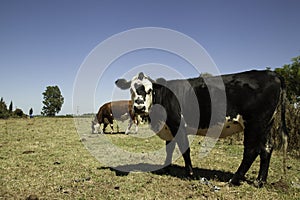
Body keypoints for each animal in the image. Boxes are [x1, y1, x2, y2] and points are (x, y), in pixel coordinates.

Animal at [115, 69, 288, 187]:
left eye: (149, 90)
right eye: (131, 90)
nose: (139, 107)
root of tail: (271, 73)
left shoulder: (177, 124)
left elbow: (184, 149)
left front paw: (190, 173)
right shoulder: (169, 128)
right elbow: (169, 148)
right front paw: (165, 168)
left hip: (254, 124)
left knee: (251, 151)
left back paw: (233, 180)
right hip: (266, 125)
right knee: (267, 148)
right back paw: (260, 181)